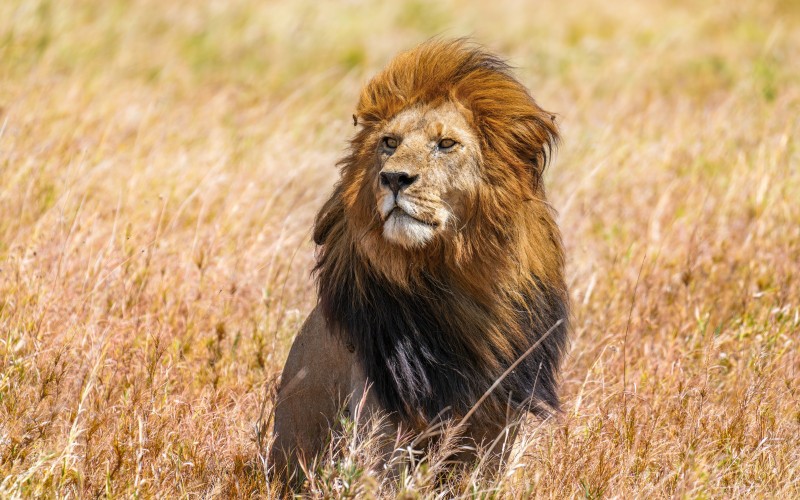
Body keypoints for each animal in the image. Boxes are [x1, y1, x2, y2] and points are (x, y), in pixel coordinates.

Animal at [270, 39, 568, 480]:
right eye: (390, 142)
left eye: (445, 144)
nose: (393, 178)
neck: (453, 275)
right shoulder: (381, 414)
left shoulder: (498, 418)